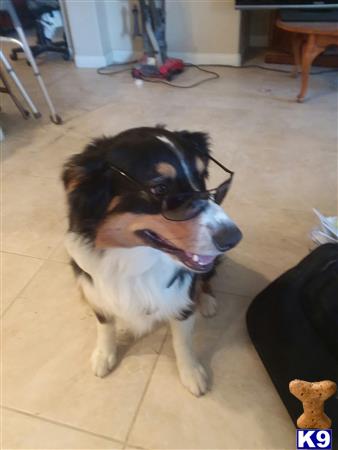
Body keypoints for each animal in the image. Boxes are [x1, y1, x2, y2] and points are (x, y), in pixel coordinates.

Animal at [62, 125, 242, 396]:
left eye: (202, 177)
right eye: (160, 189)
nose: (233, 238)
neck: (135, 260)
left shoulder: (181, 300)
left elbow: (183, 340)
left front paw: (191, 373)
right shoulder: (96, 290)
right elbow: (104, 325)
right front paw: (104, 355)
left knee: (206, 279)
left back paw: (207, 301)